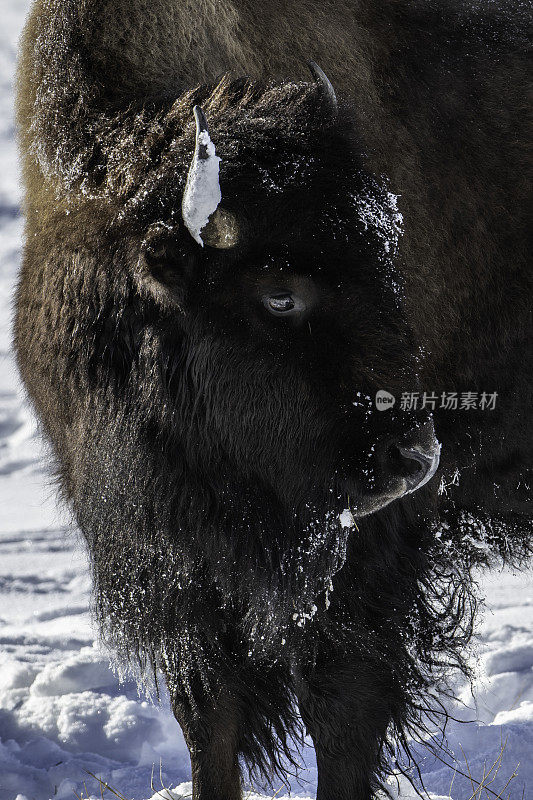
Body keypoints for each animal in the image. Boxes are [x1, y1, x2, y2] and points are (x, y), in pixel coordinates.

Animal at [14, 1, 528, 800]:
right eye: (279, 294)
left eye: (390, 261)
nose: (415, 458)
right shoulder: (176, 565)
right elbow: (207, 717)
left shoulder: (359, 559)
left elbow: (340, 706)